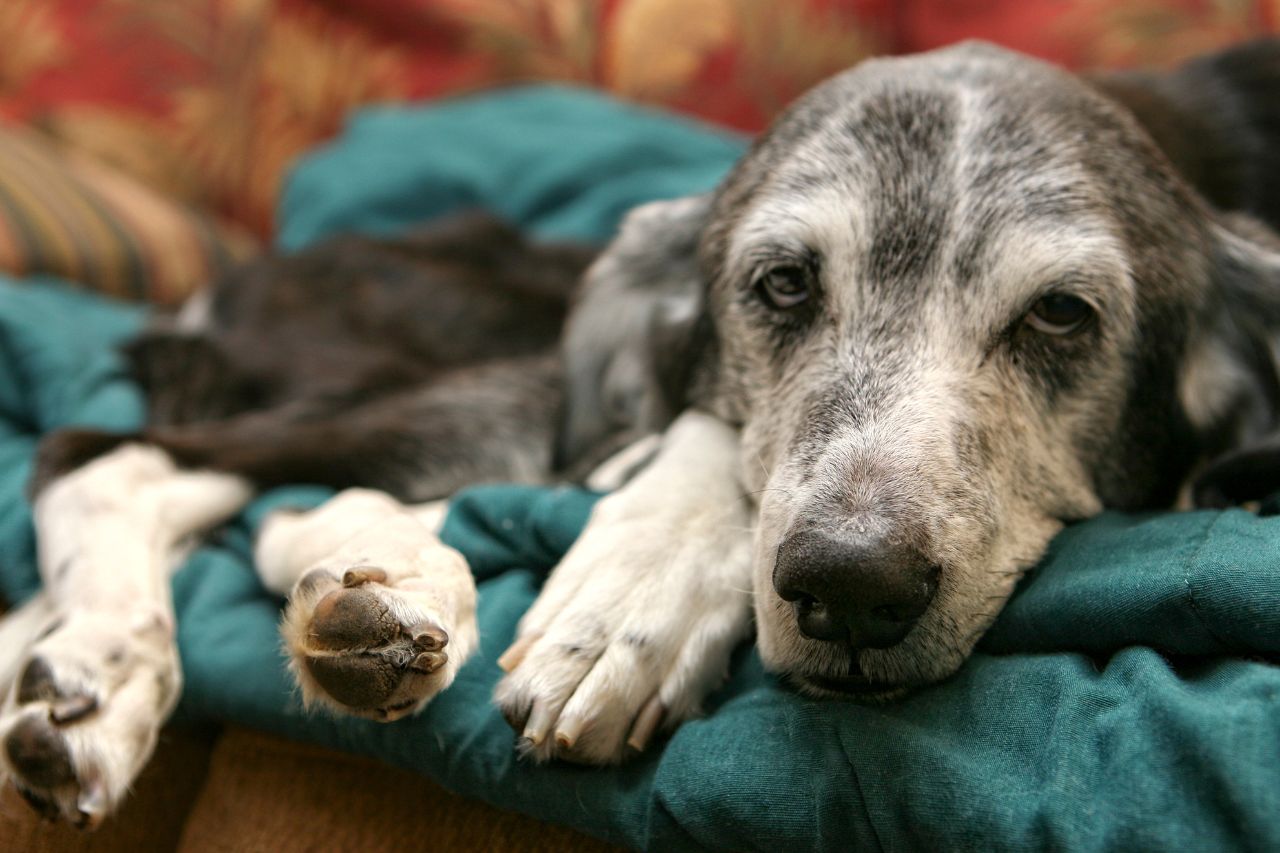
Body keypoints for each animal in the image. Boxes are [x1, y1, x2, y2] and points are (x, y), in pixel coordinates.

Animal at [2, 38, 1280, 819]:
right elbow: (705, 442)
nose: (849, 586)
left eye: (1060, 314)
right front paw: (628, 605)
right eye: (780, 284)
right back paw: (111, 670)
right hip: (502, 380)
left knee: (270, 507)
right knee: (104, 456)